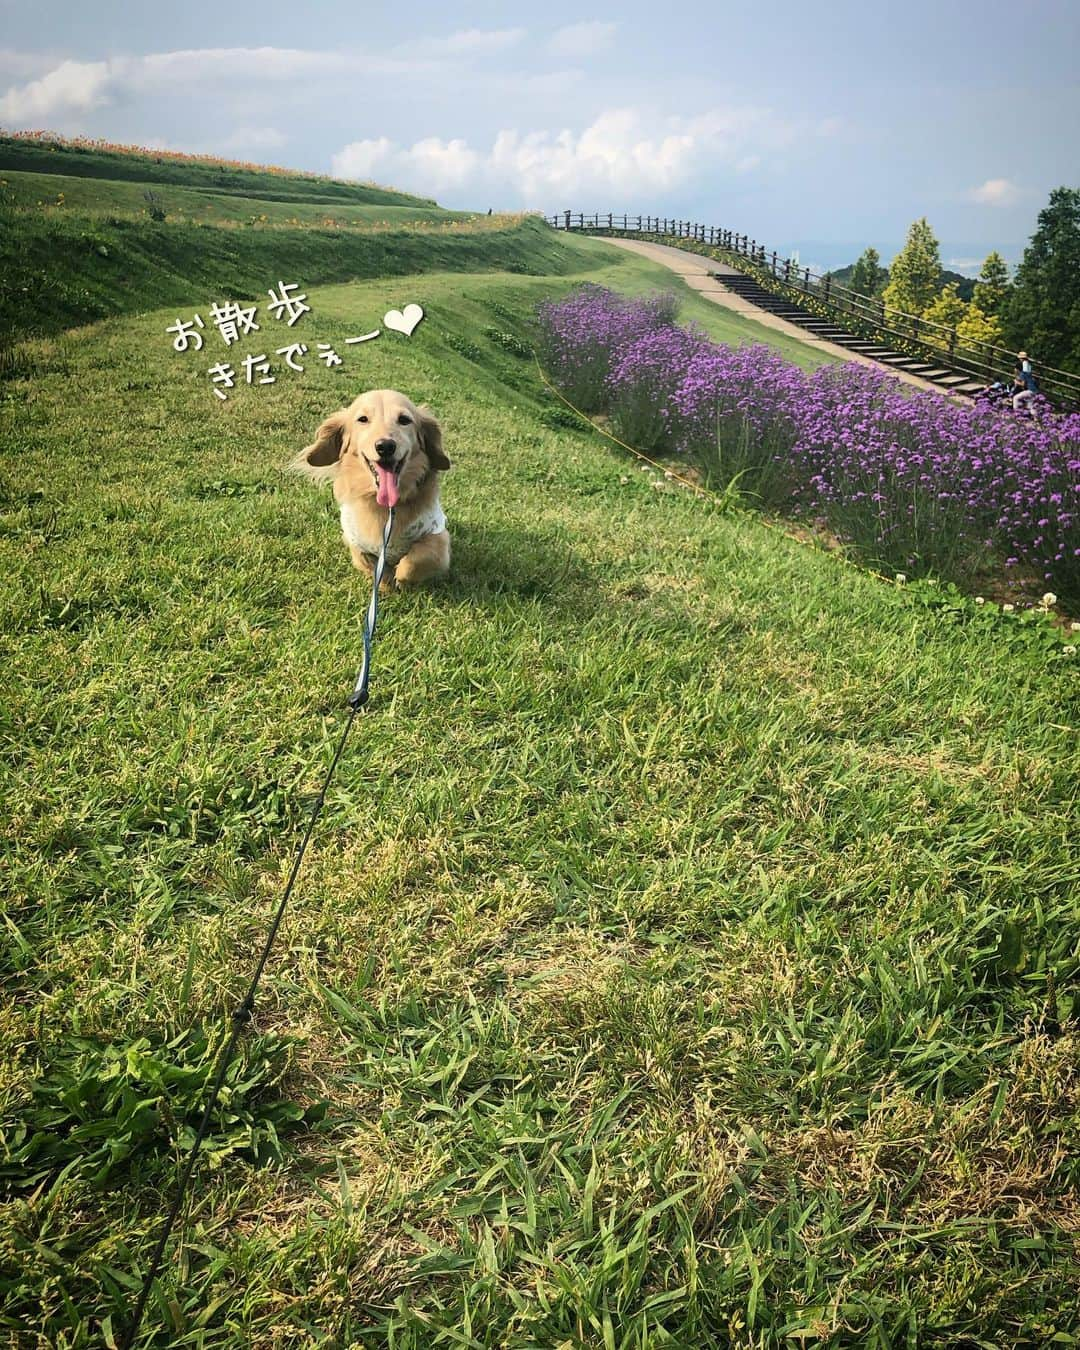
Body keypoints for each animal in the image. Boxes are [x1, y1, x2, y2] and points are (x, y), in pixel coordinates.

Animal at [291, 386, 450, 585]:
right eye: (363, 419)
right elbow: (367, 562)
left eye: (404, 420)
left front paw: (400, 579)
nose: (385, 446)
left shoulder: (438, 535)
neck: (385, 507)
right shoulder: (354, 540)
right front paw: (385, 582)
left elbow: (416, 559)